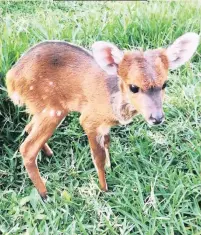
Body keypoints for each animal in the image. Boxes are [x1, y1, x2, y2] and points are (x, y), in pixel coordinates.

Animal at [6, 32, 199, 197]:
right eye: (133, 87)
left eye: (165, 84)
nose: (157, 118)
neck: (112, 103)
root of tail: (11, 79)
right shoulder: (89, 120)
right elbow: (97, 157)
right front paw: (104, 188)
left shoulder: (104, 126)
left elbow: (107, 143)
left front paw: (111, 167)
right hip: (53, 110)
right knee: (27, 148)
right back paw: (45, 194)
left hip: (42, 109)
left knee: (29, 127)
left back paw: (49, 154)